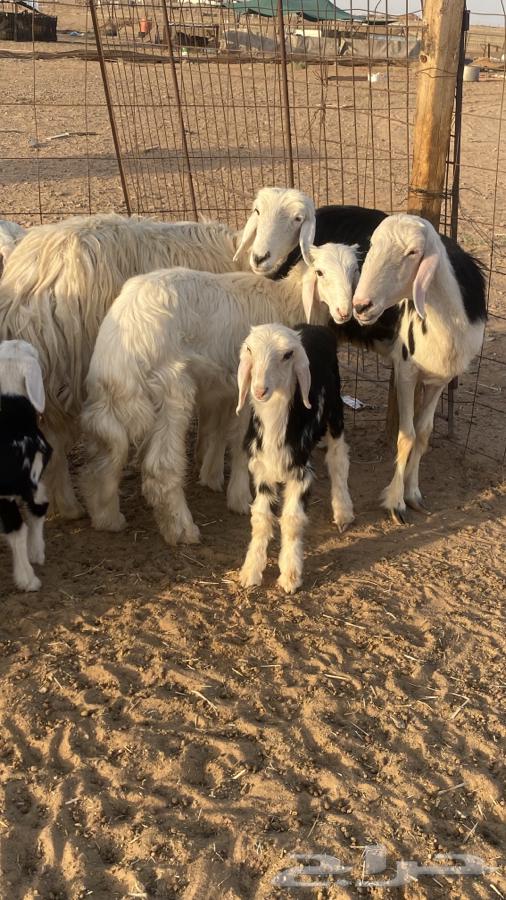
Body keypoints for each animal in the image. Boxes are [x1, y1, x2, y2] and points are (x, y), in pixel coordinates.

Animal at [80, 242, 359, 546]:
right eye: (320, 272)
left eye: (355, 271)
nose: (345, 312)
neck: (285, 299)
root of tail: (118, 353)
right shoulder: (253, 390)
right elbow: (240, 440)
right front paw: (239, 497)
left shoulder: (225, 390)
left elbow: (218, 431)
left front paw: (212, 476)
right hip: (172, 390)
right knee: (160, 467)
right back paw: (182, 529)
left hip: (110, 405)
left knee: (105, 454)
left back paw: (107, 518)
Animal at [237, 323, 354, 594]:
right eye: (249, 350)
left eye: (287, 355)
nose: (259, 390)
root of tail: (316, 326)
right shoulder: (262, 469)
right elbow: (261, 519)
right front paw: (251, 571)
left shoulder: (300, 471)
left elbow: (291, 521)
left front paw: (290, 576)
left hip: (335, 409)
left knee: (338, 458)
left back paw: (343, 511)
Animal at [352, 213, 487, 522]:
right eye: (372, 244)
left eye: (413, 252)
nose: (360, 306)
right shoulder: (405, 372)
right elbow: (407, 436)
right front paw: (396, 503)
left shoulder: (440, 379)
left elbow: (424, 434)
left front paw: (413, 494)